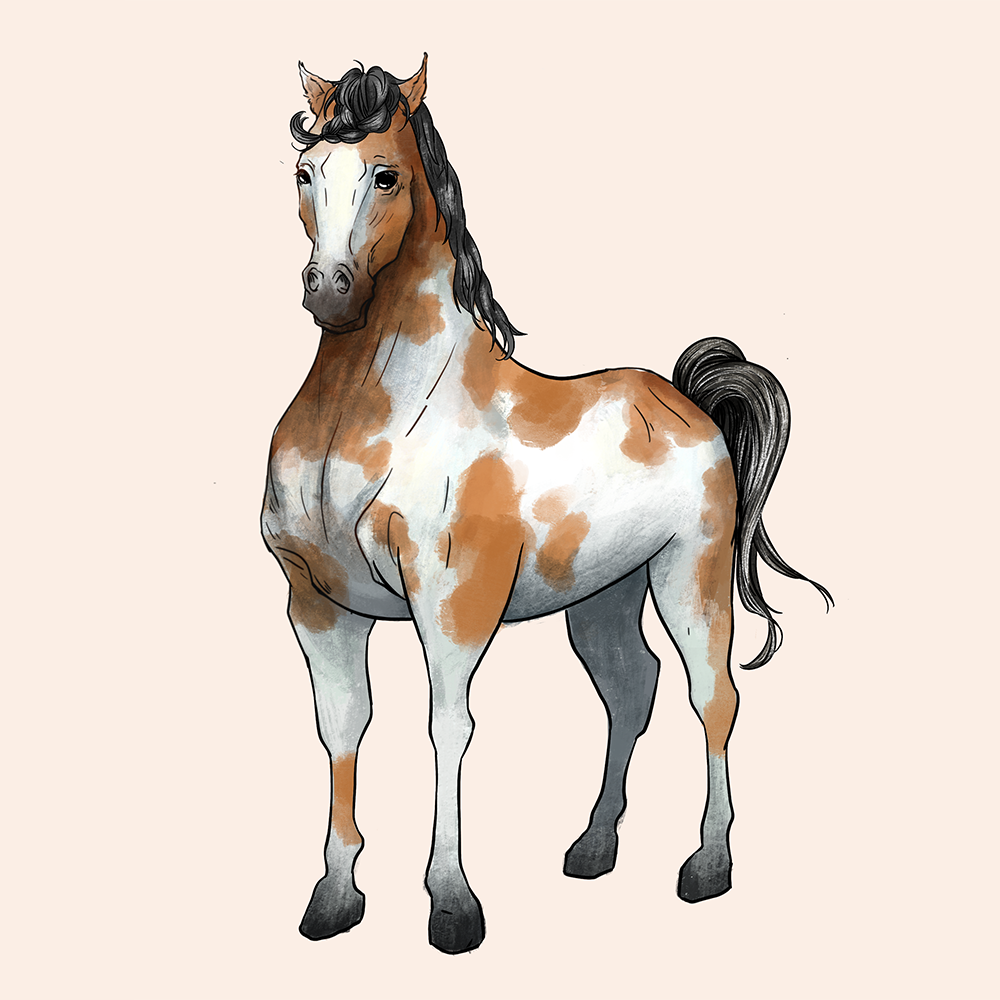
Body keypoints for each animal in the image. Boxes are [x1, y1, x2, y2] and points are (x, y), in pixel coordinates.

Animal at [261, 55, 831, 954]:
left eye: (386, 175)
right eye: (304, 171)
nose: (330, 292)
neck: (371, 414)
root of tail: (690, 400)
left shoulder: (453, 603)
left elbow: (447, 726)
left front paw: (453, 905)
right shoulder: (318, 606)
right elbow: (343, 727)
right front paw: (334, 898)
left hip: (689, 580)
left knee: (714, 699)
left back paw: (708, 865)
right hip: (602, 597)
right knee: (633, 689)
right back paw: (594, 847)